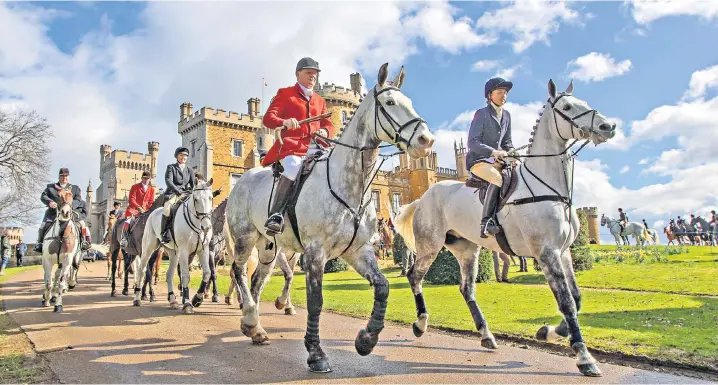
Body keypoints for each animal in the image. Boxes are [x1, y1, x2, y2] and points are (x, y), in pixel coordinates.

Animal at [132, 178, 215, 312]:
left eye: (210, 198)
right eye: (196, 199)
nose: (206, 227)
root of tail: (153, 212)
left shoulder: (203, 249)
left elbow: (207, 273)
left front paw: (197, 299)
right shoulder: (185, 251)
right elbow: (186, 276)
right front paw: (188, 304)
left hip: (173, 253)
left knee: (169, 274)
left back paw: (172, 300)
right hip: (148, 249)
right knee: (142, 270)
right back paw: (137, 298)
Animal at [228, 63, 436, 372]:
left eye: (409, 102)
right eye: (389, 103)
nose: (426, 140)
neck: (349, 183)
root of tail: (244, 178)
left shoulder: (358, 250)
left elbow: (383, 286)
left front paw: (366, 339)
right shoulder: (316, 252)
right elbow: (316, 301)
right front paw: (316, 353)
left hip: (268, 247)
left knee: (256, 279)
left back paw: (255, 328)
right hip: (244, 237)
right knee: (238, 270)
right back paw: (251, 317)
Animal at [394, 79, 620, 376]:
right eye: (568, 107)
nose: (607, 126)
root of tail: (424, 196)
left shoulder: (563, 252)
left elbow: (577, 298)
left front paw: (548, 331)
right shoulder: (546, 252)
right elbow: (567, 302)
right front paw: (584, 357)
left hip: (466, 249)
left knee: (466, 288)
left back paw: (486, 335)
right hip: (430, 245)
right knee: (414, 276)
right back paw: (420, 324)